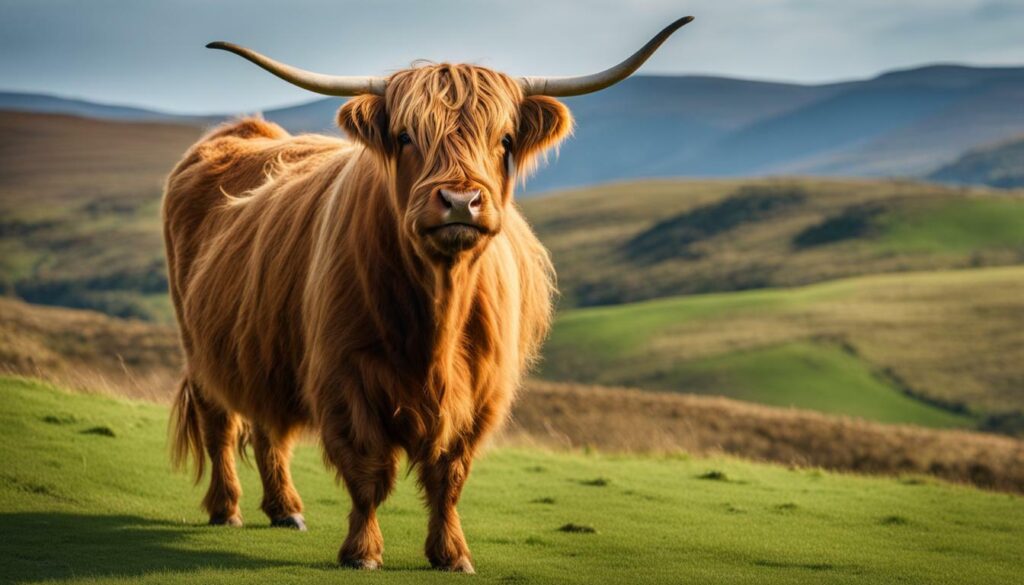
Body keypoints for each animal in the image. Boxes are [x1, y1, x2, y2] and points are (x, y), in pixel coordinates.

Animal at [167, 17, 692, 573]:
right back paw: (227, 508)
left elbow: (449, 477)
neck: (436, 315)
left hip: (264, 345)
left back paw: (286, 509)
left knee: (270, 423)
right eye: (404, 135)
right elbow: (368, 474)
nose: (460, 200)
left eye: (505, 138)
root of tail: (243, 131)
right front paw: (362, 552)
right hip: (197, 345)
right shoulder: (344, 377)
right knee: (220, 422)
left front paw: (452, 554)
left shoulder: (481, 392)